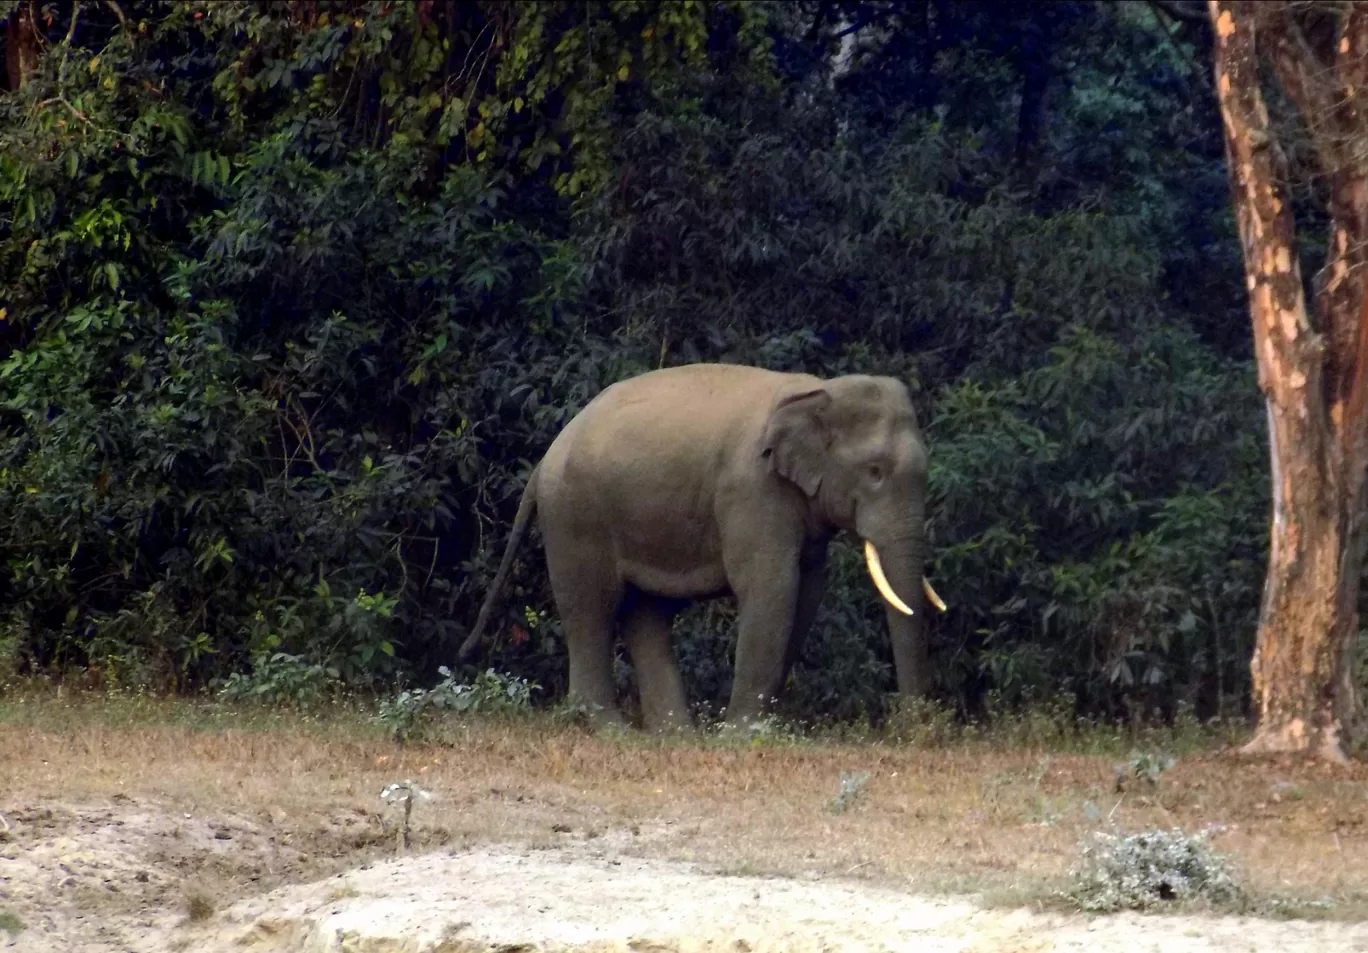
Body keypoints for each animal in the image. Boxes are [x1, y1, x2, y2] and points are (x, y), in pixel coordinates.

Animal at [456, 363, 941, 727]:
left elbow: (807, 589)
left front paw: (765, 725)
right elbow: (770, 585)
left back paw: (674, 733)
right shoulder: (750, 489)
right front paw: (745, 733)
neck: (817, 390)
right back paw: (609, 728)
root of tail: (544, 460)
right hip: (574, 515)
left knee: (645, 612)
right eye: (875, 472)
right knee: (591, 606)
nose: (910, 727)